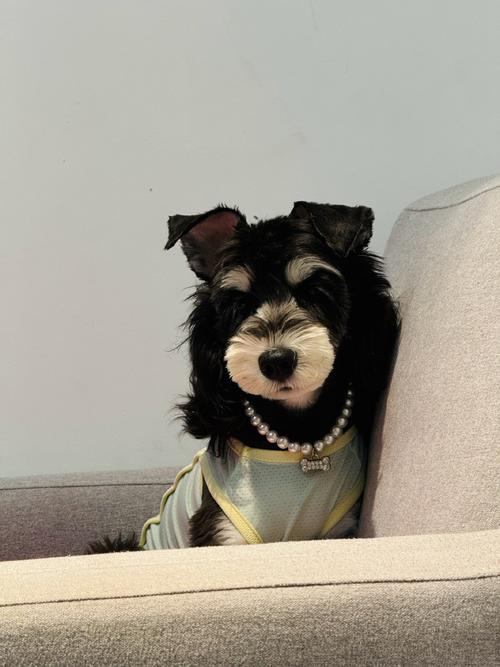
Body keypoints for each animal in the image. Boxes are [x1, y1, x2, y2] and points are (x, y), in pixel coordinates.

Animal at [86, 201, 401, 554]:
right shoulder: (220, 532)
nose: (276, 361)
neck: (296, 433)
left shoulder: (340, 530)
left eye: (315, 291)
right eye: (240, 302)